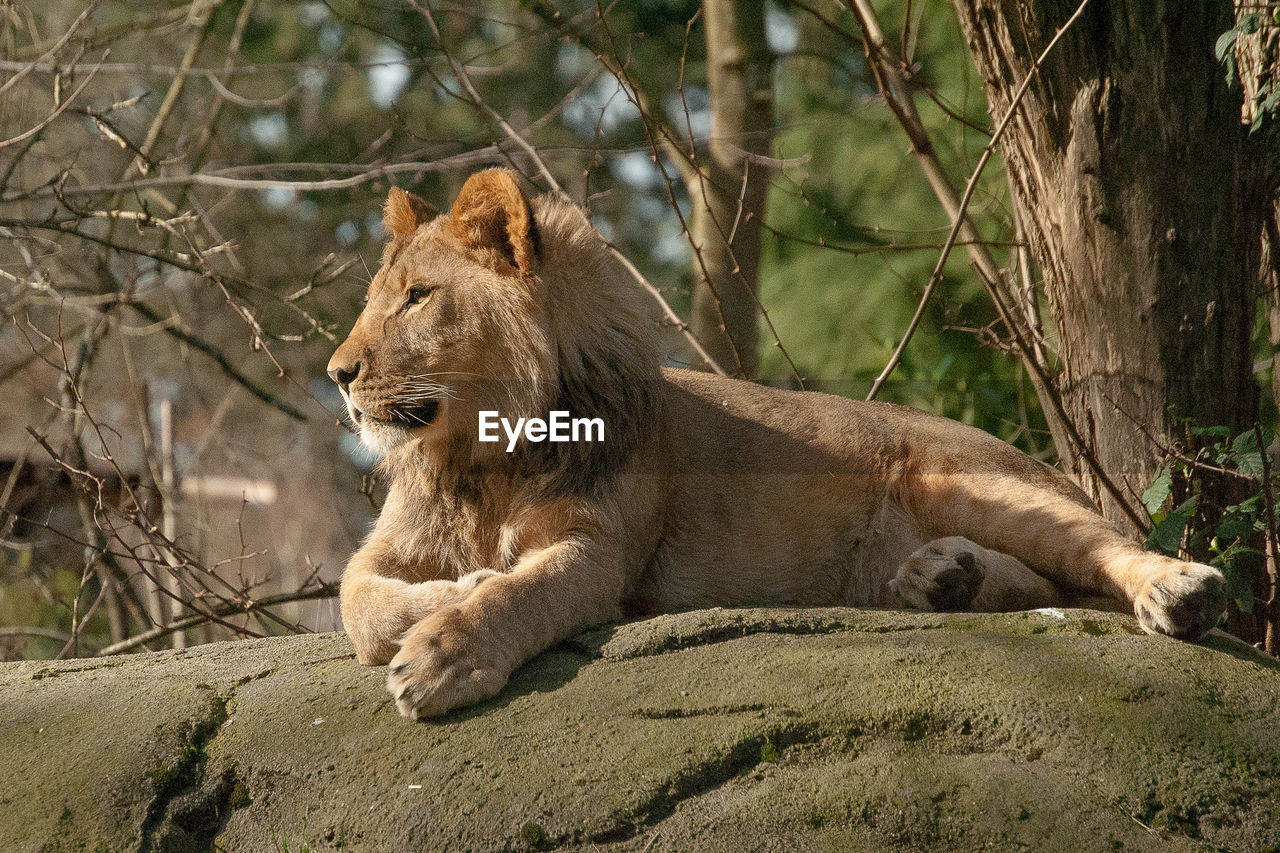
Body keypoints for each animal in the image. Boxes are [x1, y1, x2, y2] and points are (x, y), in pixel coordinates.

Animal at [325, 166, 1223, 717]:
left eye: (417, 296)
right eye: (375, 297)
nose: (336, 373)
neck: (482, 456)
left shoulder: (600, 553)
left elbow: (522, 592)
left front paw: (446, 651)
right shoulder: (386, 548)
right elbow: (358, 603)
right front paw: (455, 589)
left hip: (970, 479)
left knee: (1101, 556)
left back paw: (1176, 591)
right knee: (1052, 589)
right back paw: (944, 579)